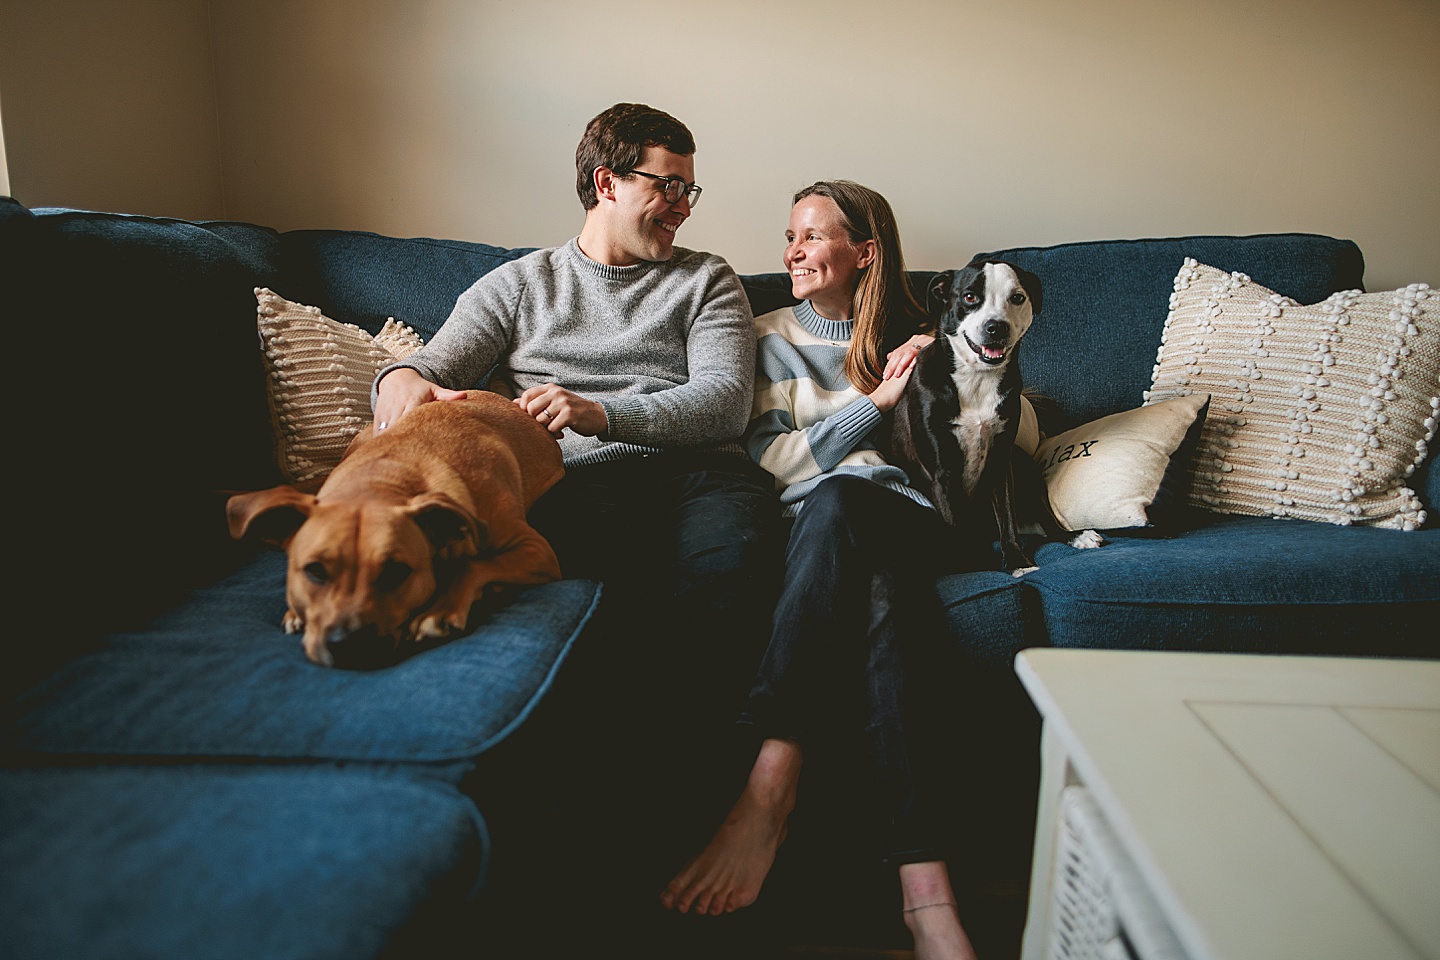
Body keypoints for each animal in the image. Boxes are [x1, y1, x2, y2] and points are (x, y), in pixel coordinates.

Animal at [226, 391, 561, 667]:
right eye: (315, 571)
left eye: (397, 572)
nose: (349, 645)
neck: (385, 476)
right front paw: (295, 612)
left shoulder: (537, 550)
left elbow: (473, 565)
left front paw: (439, 609)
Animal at [887, 259, 1100, 575]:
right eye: (970, 297)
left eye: (1017, 297)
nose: (996, 327)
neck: (976, 379)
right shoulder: (941, 472)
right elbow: (957, 527)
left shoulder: (1001, 462)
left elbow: (1008, 521)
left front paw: (1017, 562)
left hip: (1024, 465)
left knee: (1047, 519)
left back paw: (1075, 536)